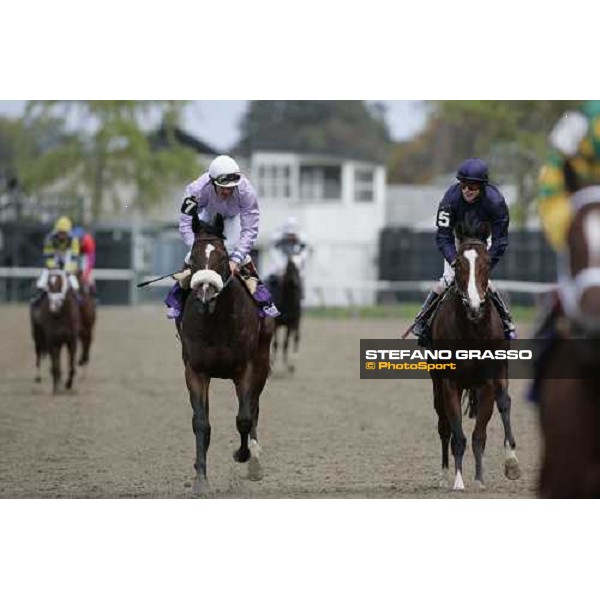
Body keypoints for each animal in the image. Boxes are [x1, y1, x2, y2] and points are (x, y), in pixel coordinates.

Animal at [177, 213, 274, 494]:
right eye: (194, 257)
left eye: (221, 257)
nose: (205, 294)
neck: (216, 322)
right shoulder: (195, 370)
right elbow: (201, 422)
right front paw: (200, 479)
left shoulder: (246, 369)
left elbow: (244, 418)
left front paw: (242, 455)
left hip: (261, 365)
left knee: (254, 408)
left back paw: (254, 458)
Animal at [432, 223, 520, 490]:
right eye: (458, 264)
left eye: (487, 263)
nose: (474, 306)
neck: (472, 330)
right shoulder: (449, 382)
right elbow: (457, 435)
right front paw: (458, 481)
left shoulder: (488, 382)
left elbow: (480, 434)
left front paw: (482, 478)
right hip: (436, 381)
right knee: (443, 425)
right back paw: (444, 474)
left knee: (501, 404)